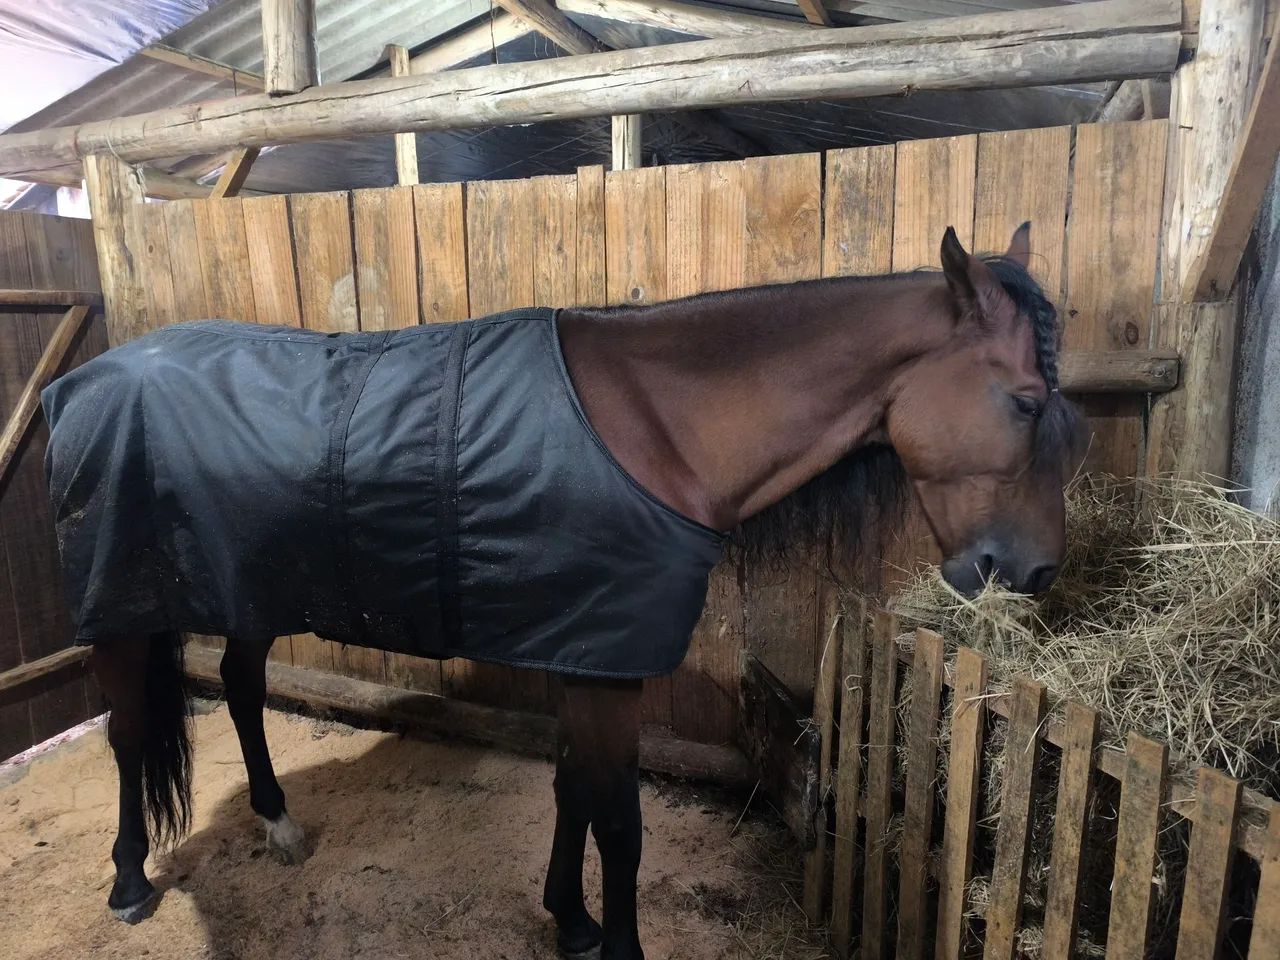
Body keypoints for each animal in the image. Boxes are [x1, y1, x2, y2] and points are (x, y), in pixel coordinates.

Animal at [41, 223, 1082, 959]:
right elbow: (617, 822)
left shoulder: (583, 650)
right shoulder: (607, 665)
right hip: (124, 610)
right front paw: (613, 943)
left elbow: (573, 791)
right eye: (1025, 400)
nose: (1031, 572)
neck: (653, 428)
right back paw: (130, 882)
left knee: (243, 690)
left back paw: (277, 823)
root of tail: (84, 382)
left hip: (250, 590)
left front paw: (571, 922)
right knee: (128, 734)